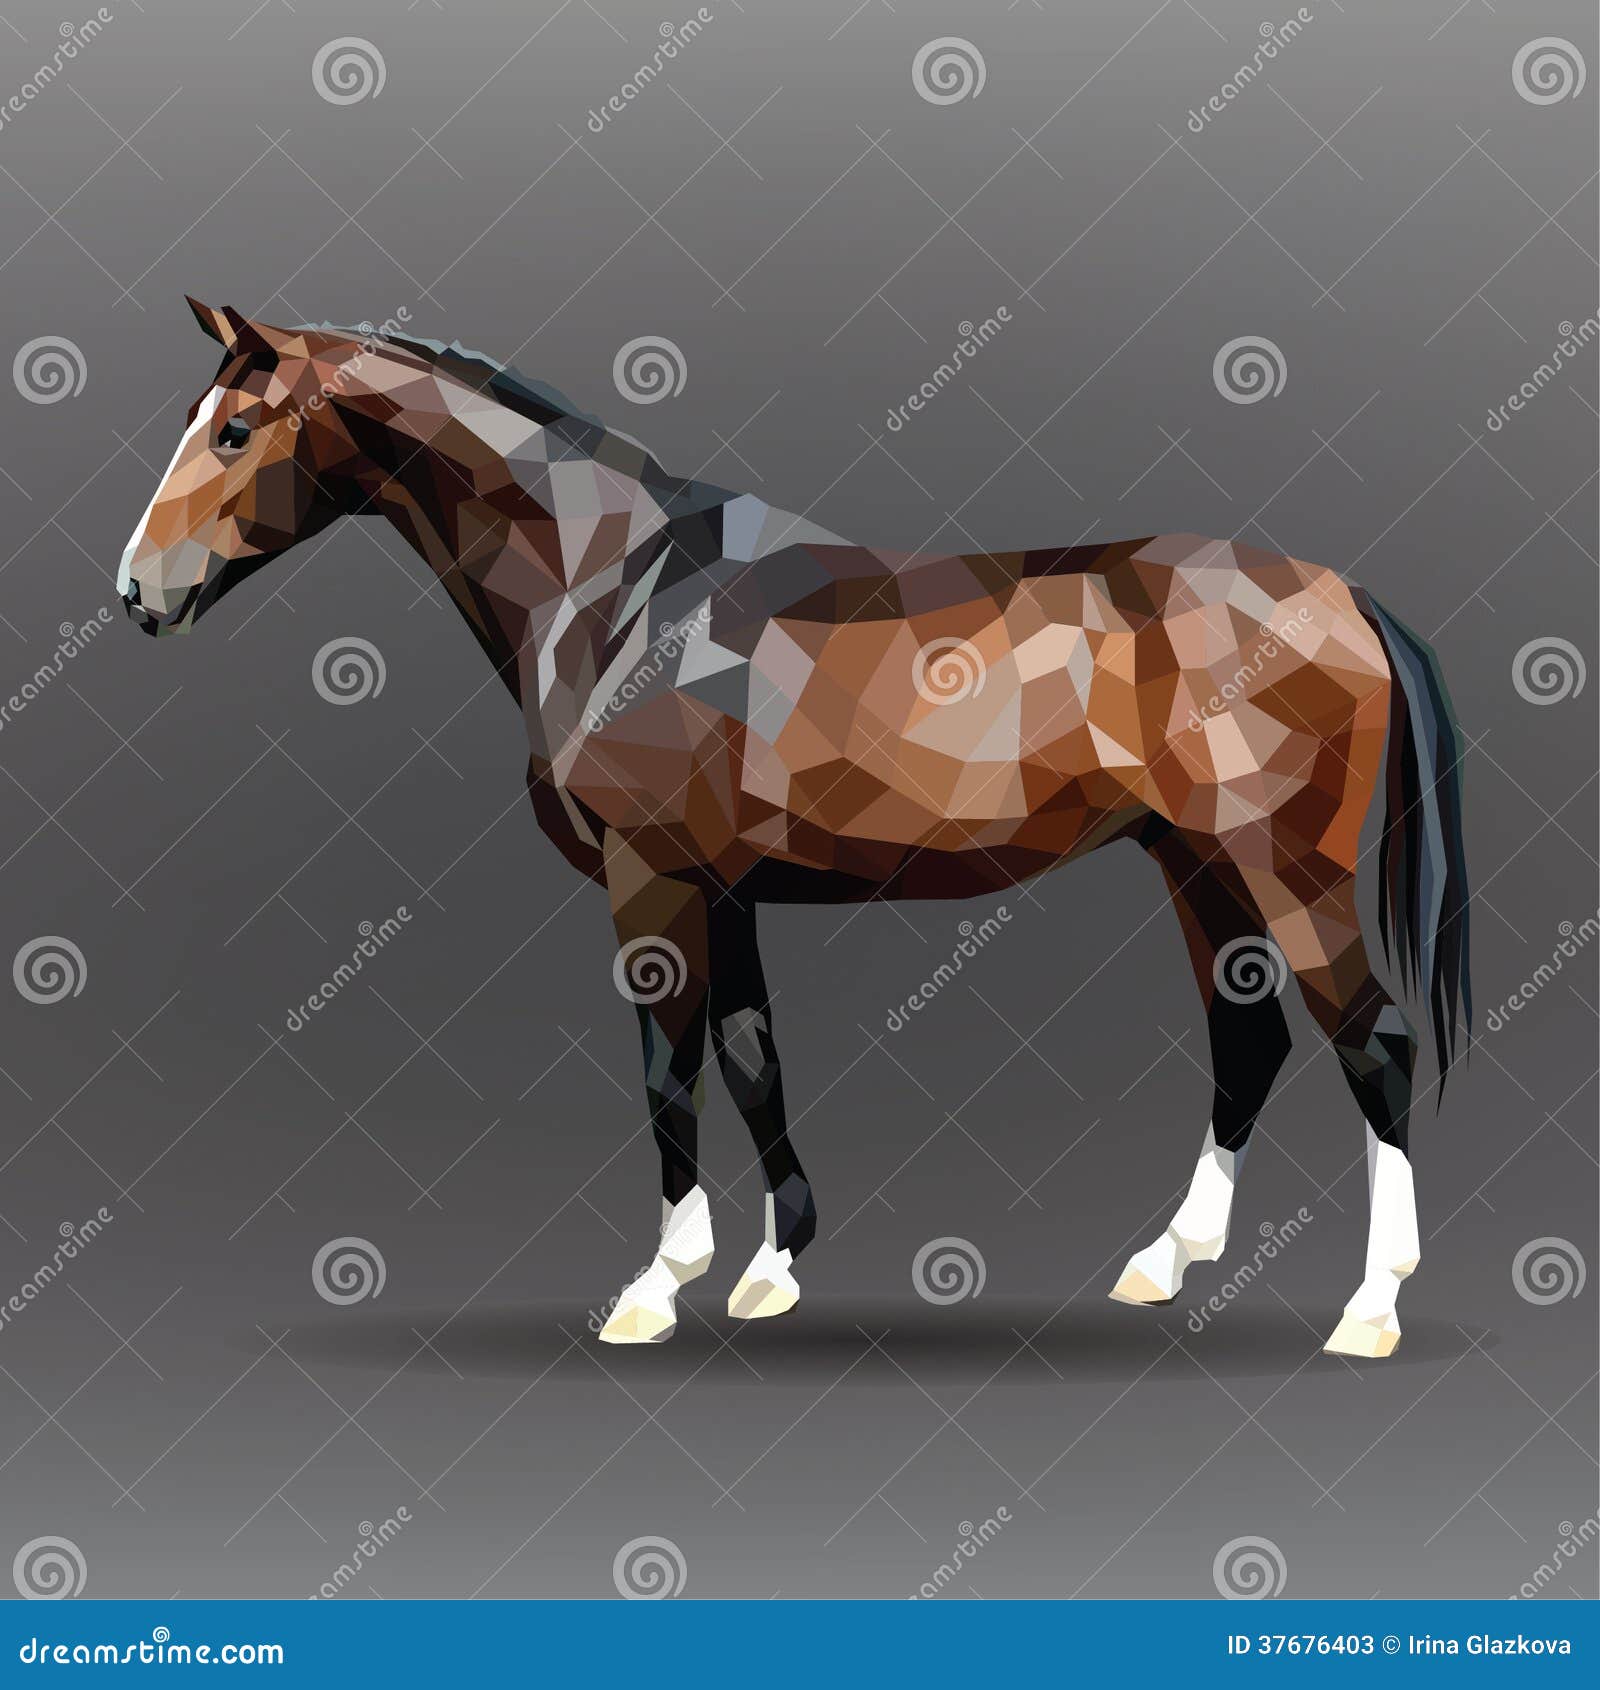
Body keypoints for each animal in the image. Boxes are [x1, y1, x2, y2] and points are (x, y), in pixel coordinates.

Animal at [117, 300, 1470, 1358]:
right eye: (195, 418)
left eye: (235, 429)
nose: (138, 593)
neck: (619, 594)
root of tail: (1343, 595)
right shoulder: (723, 885)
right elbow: (751, 1057)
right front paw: (769, 1267)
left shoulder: (652, 880)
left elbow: (668, 1070)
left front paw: (655, 1288)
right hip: (1197, 867)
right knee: (1249, 1043)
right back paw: (1166, 1260)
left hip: (1286, 869)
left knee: (1375, 1044)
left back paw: (1369, 1310)